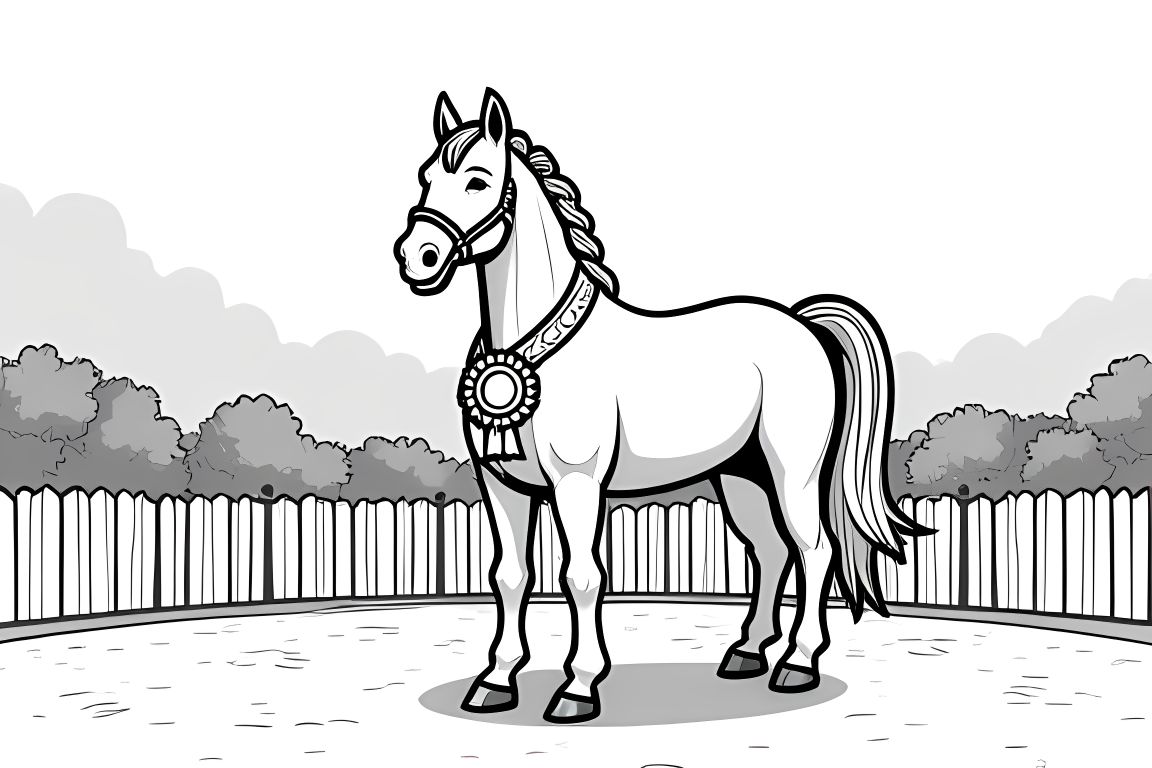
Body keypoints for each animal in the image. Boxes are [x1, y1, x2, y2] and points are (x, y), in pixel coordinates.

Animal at [393, 88, 923, 723]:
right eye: (426, 176)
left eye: (477, 180)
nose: (417, 257)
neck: (531, 346)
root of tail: (801, 324)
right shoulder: (502, 484)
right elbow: (512, 576)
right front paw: (495, 681)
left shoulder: (577, 483)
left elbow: (582, 577)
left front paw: (578, 687)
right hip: (741, 477)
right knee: (770, 553)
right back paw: (746, 652)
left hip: (791, 474)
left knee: (814, 550)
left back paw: (797, 664)